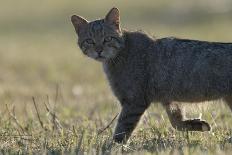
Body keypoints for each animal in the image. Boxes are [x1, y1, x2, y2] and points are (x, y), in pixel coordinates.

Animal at [70, 7, 232, 143]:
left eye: (107, 39)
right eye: (89, 41)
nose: (99, 50)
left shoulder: (134, 101)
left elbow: (122, 129)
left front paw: (112, 146)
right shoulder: (168, 99)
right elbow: (176, 122)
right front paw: (195, 124)